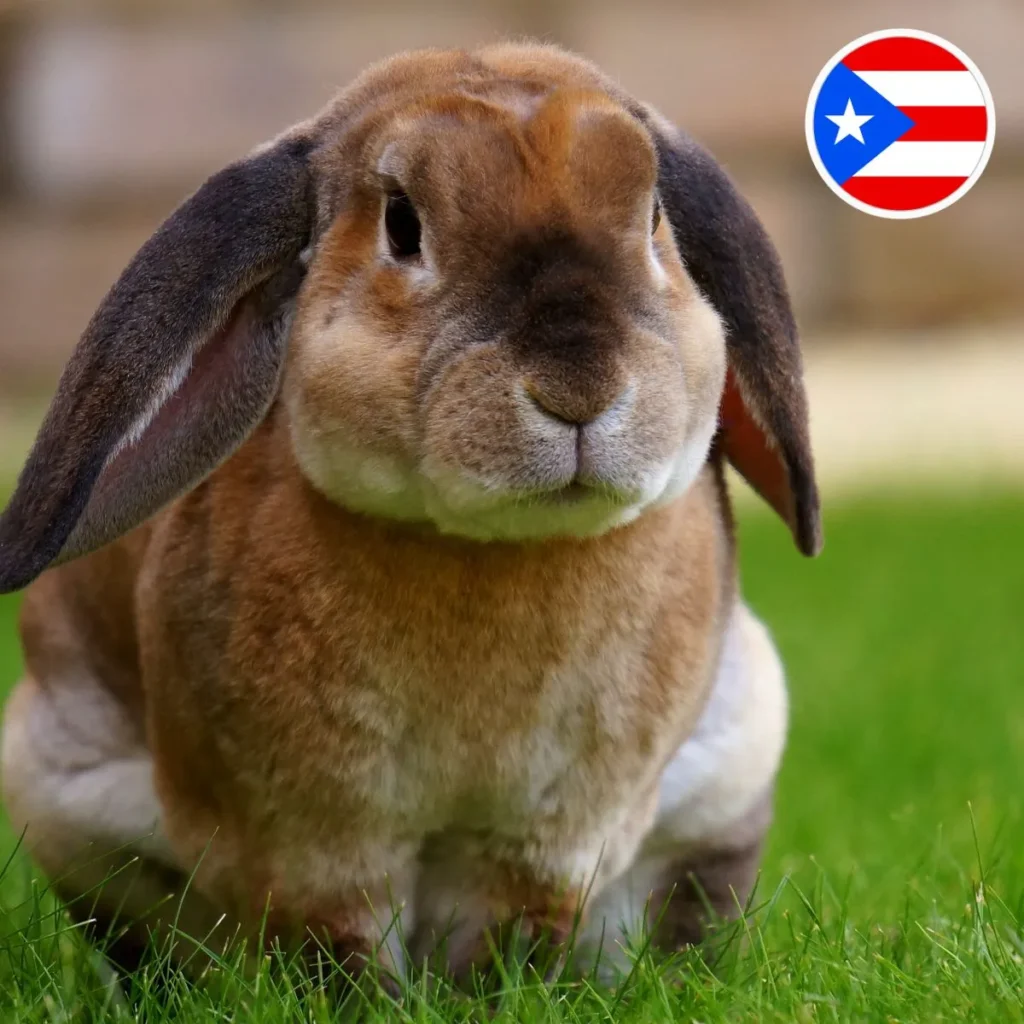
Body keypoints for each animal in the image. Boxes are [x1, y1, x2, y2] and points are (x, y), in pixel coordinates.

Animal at [0, 42, 820, 983]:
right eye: (402, 225)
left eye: (654, 220)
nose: (579, 387)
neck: (488, 550)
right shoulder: (314, 841)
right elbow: (340, 944)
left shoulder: (547, 839)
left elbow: (508, 937)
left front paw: (493, 996)